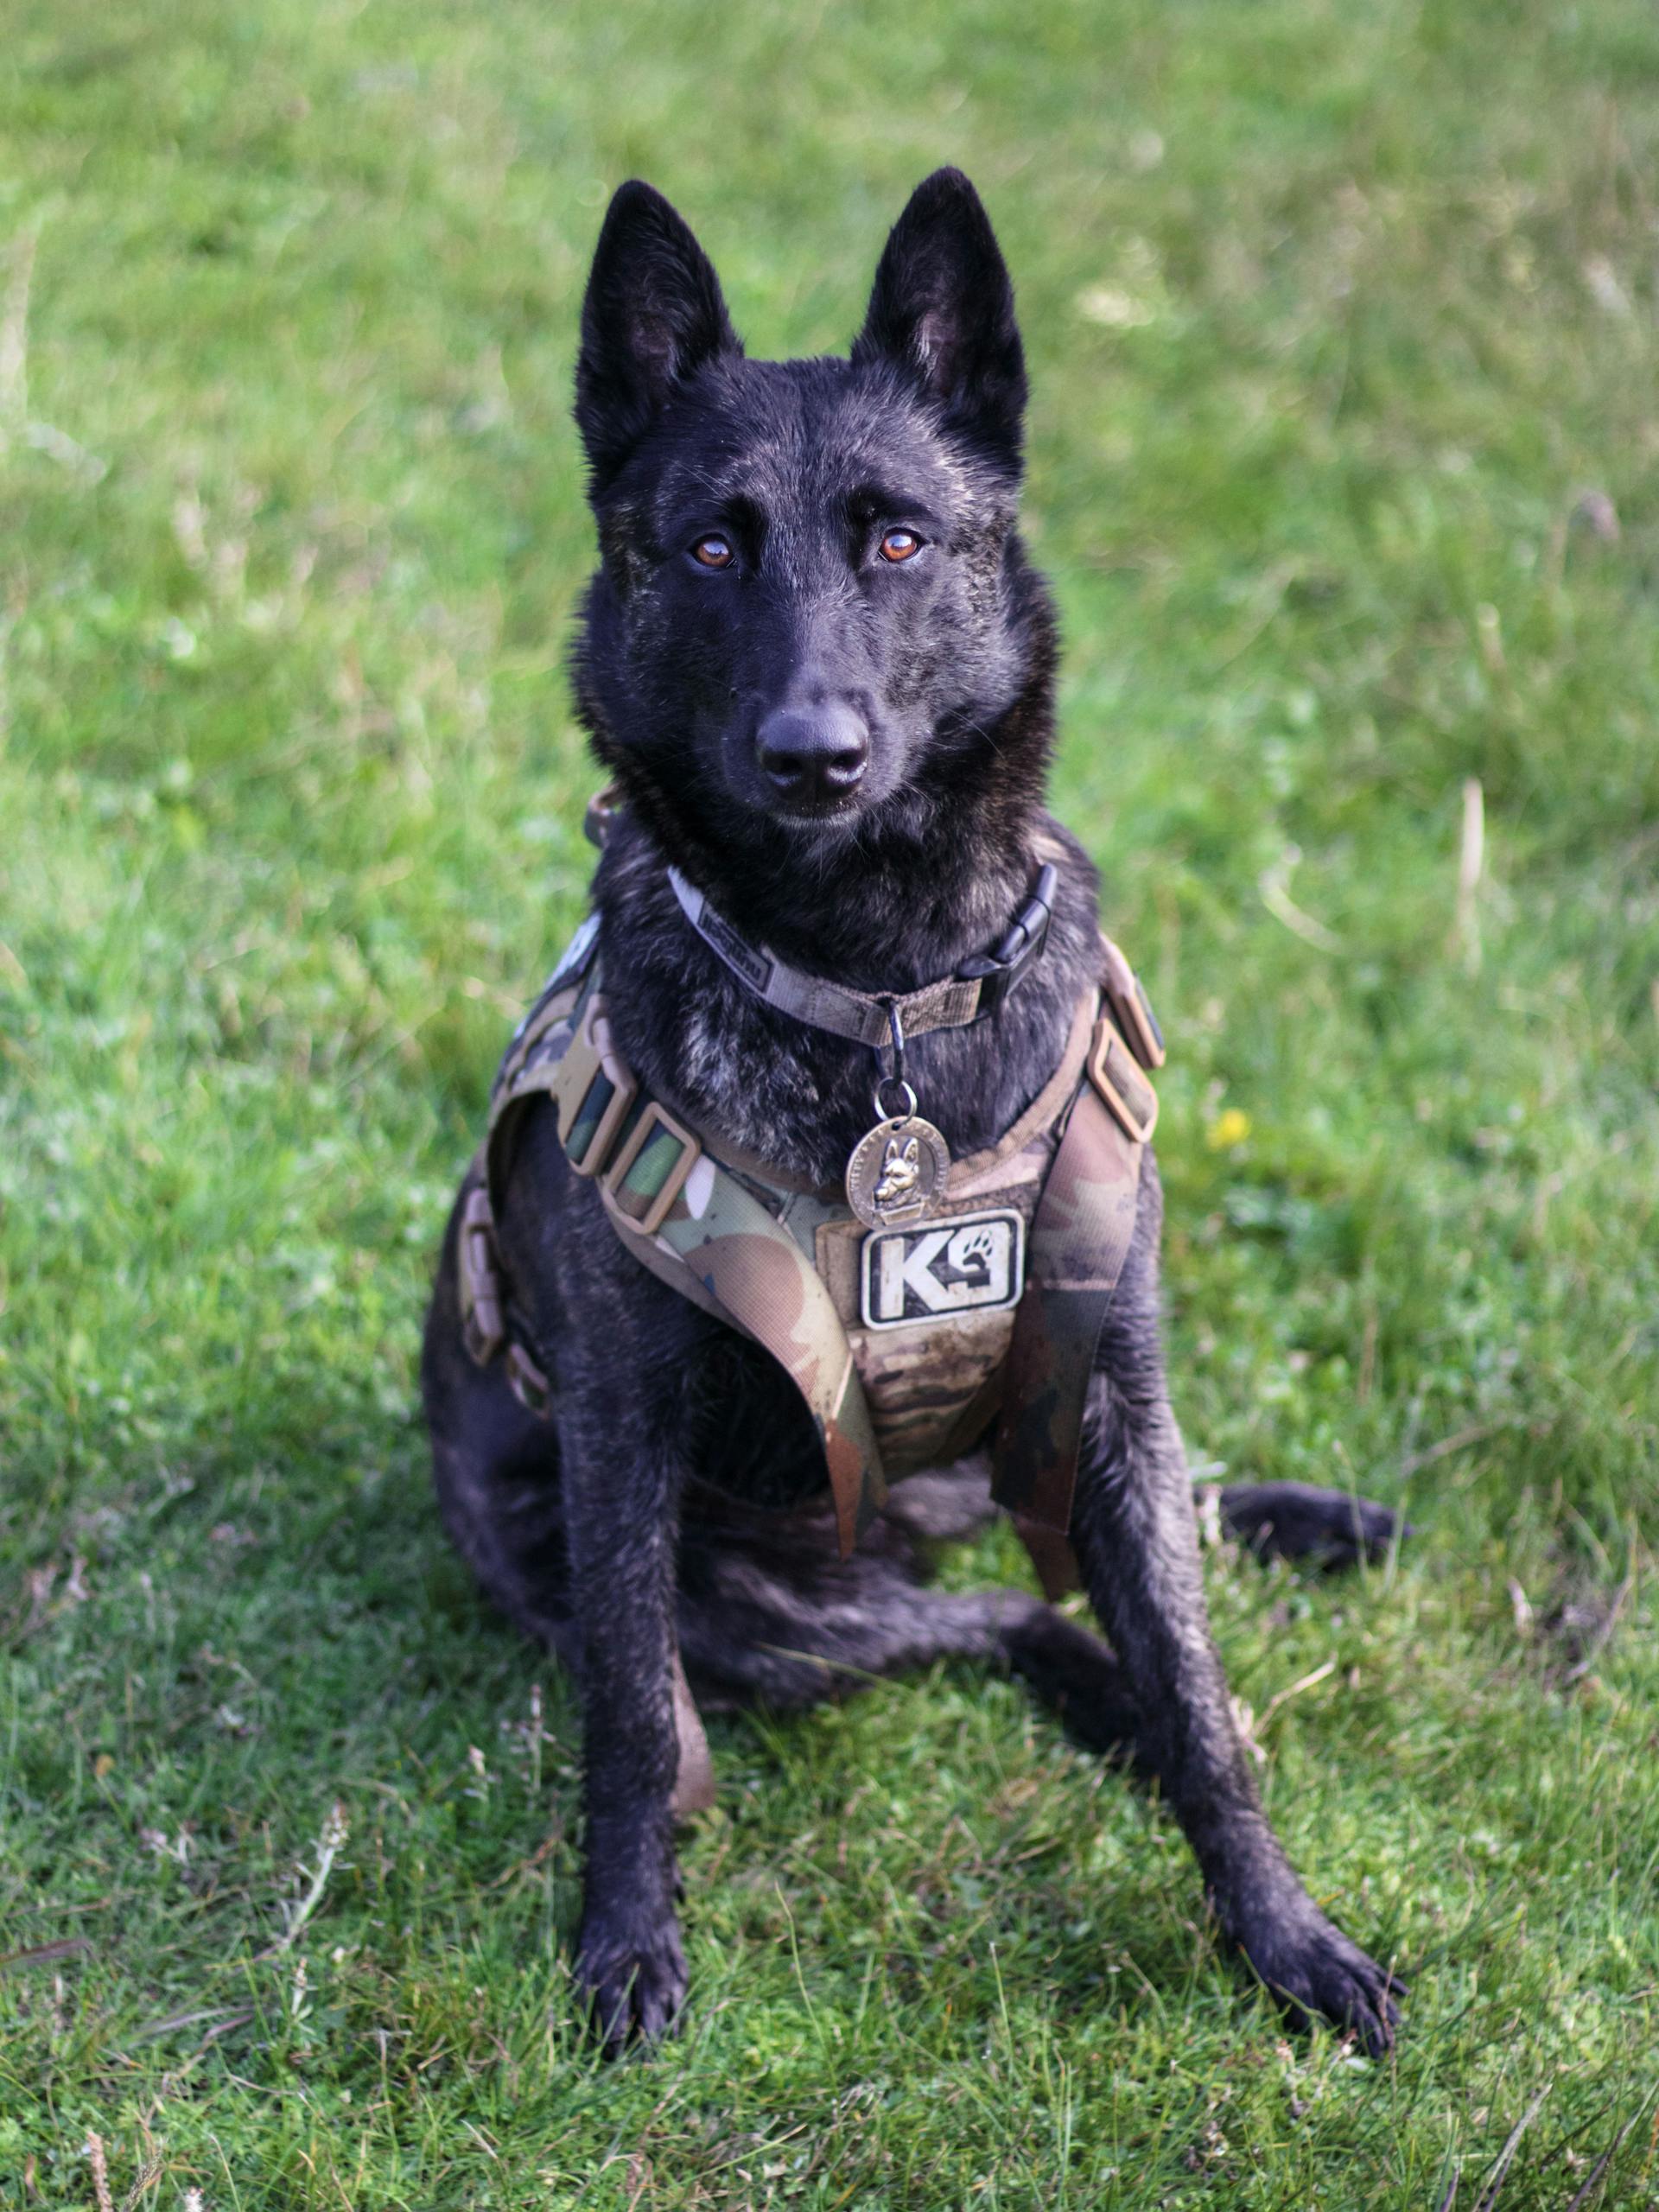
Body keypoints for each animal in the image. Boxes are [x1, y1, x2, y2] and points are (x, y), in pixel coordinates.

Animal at [422, 168, 1407, 2052]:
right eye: (711, 545)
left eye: (897, 541)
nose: (815, 752)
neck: (874, 984)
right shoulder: (625, 1445)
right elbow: (635, 1724)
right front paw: (626, 1940)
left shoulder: (1114, 1381)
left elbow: (1206, 1698)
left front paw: (1284, 1935)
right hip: (766, 1616)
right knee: (999, 1615)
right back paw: (1093, 1681)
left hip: (1047, 1441)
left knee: (1107, 1551)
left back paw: (1298, 1533)